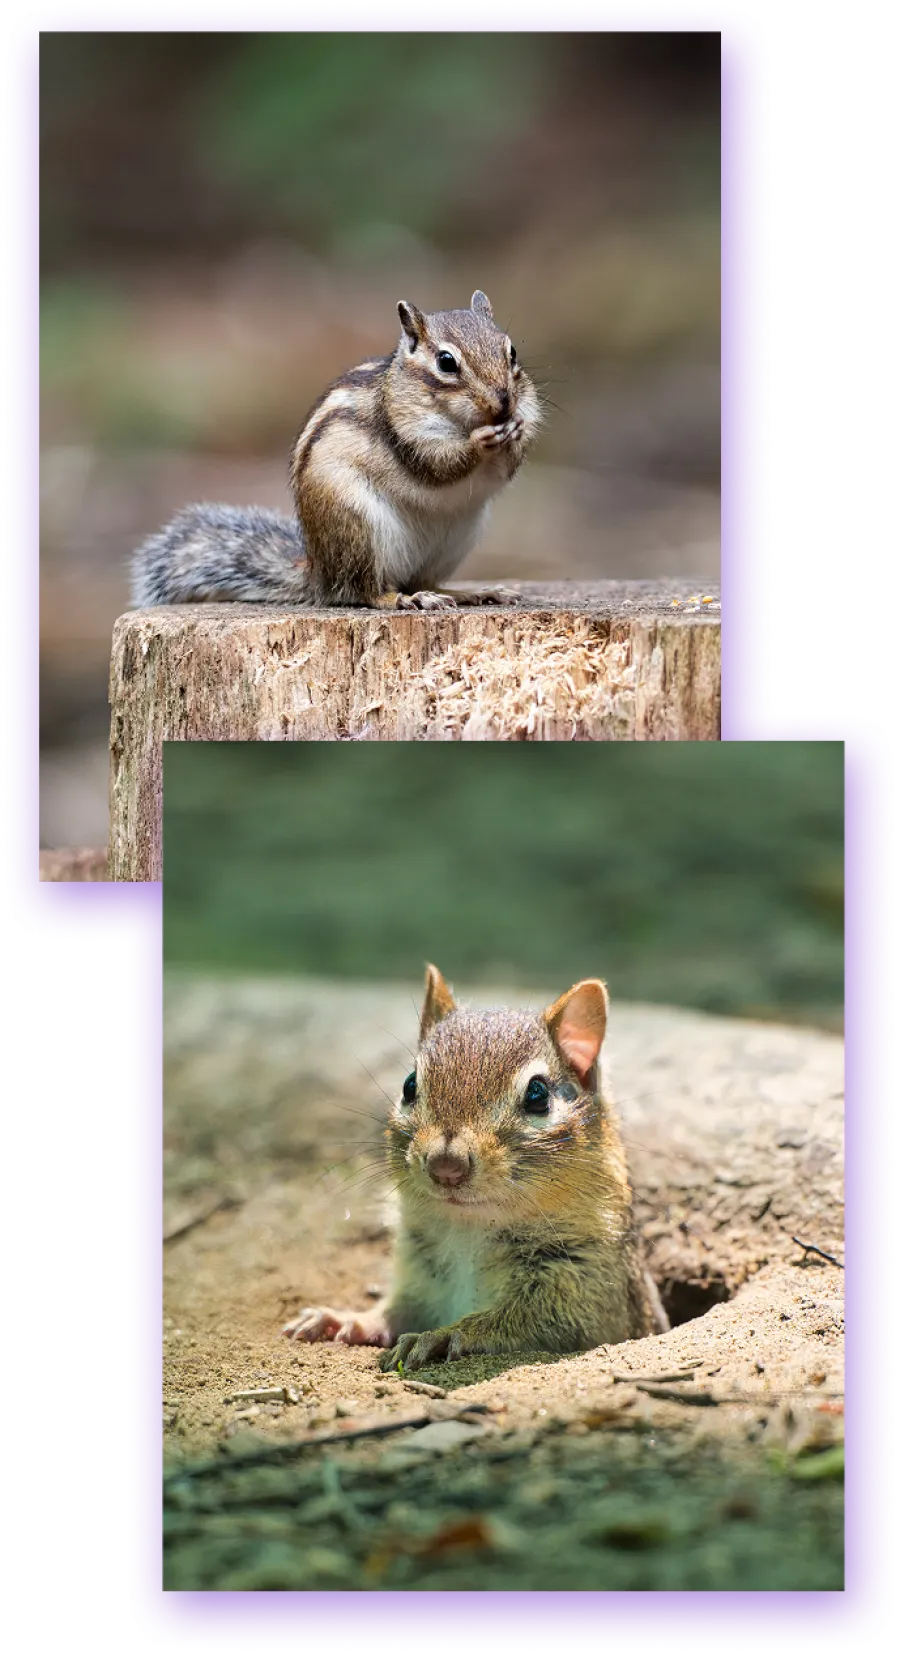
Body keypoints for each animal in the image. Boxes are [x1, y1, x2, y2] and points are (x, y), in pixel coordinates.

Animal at [130, 291, 542, 612]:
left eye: (512, 351)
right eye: (446, 362)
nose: (504, 403)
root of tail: (320, 572)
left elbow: (504, 470)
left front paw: (517, 433)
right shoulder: (405, 432)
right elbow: (437, 465)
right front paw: (481, 440)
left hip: (457, 538)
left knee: (423, 580)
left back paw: (470, 593)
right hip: (357, 527)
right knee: (365, 592)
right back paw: (406, 599)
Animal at [283, 964, 668, 1372]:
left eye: (538, 1095)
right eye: (409, 1085)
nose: (446, 1165)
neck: (469, 1230)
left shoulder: (586, 1287)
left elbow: (519, 1321)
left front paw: (441, 1335)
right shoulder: (417, 1275)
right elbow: (393, 1313)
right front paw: (342, 1318)